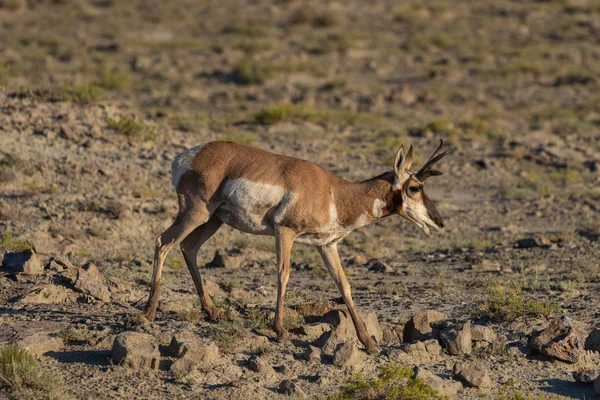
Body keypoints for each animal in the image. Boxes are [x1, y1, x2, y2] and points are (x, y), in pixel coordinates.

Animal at [145, 140, 452, 354]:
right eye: (415, 188)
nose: (439, 222)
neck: (335, 193)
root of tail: (189, 155)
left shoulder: (327, 246)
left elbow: (344, 286)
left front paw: (369, 343)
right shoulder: (285, 232)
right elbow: (284, 274)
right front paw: (280, 330)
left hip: (213, 220)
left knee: (188, 248)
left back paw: (213, 312)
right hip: (196, 212)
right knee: (163, 242)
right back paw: (149, 312)